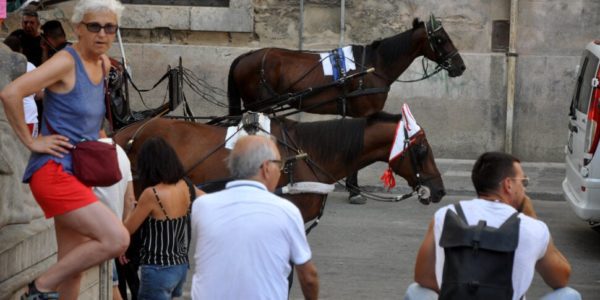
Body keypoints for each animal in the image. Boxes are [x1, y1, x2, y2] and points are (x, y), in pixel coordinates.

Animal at [227, 14, 466, 116]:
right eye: (441, 39)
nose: (460, 66)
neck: (373, 66)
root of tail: (245, 56)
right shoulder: (365, 113)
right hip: (260, 106)